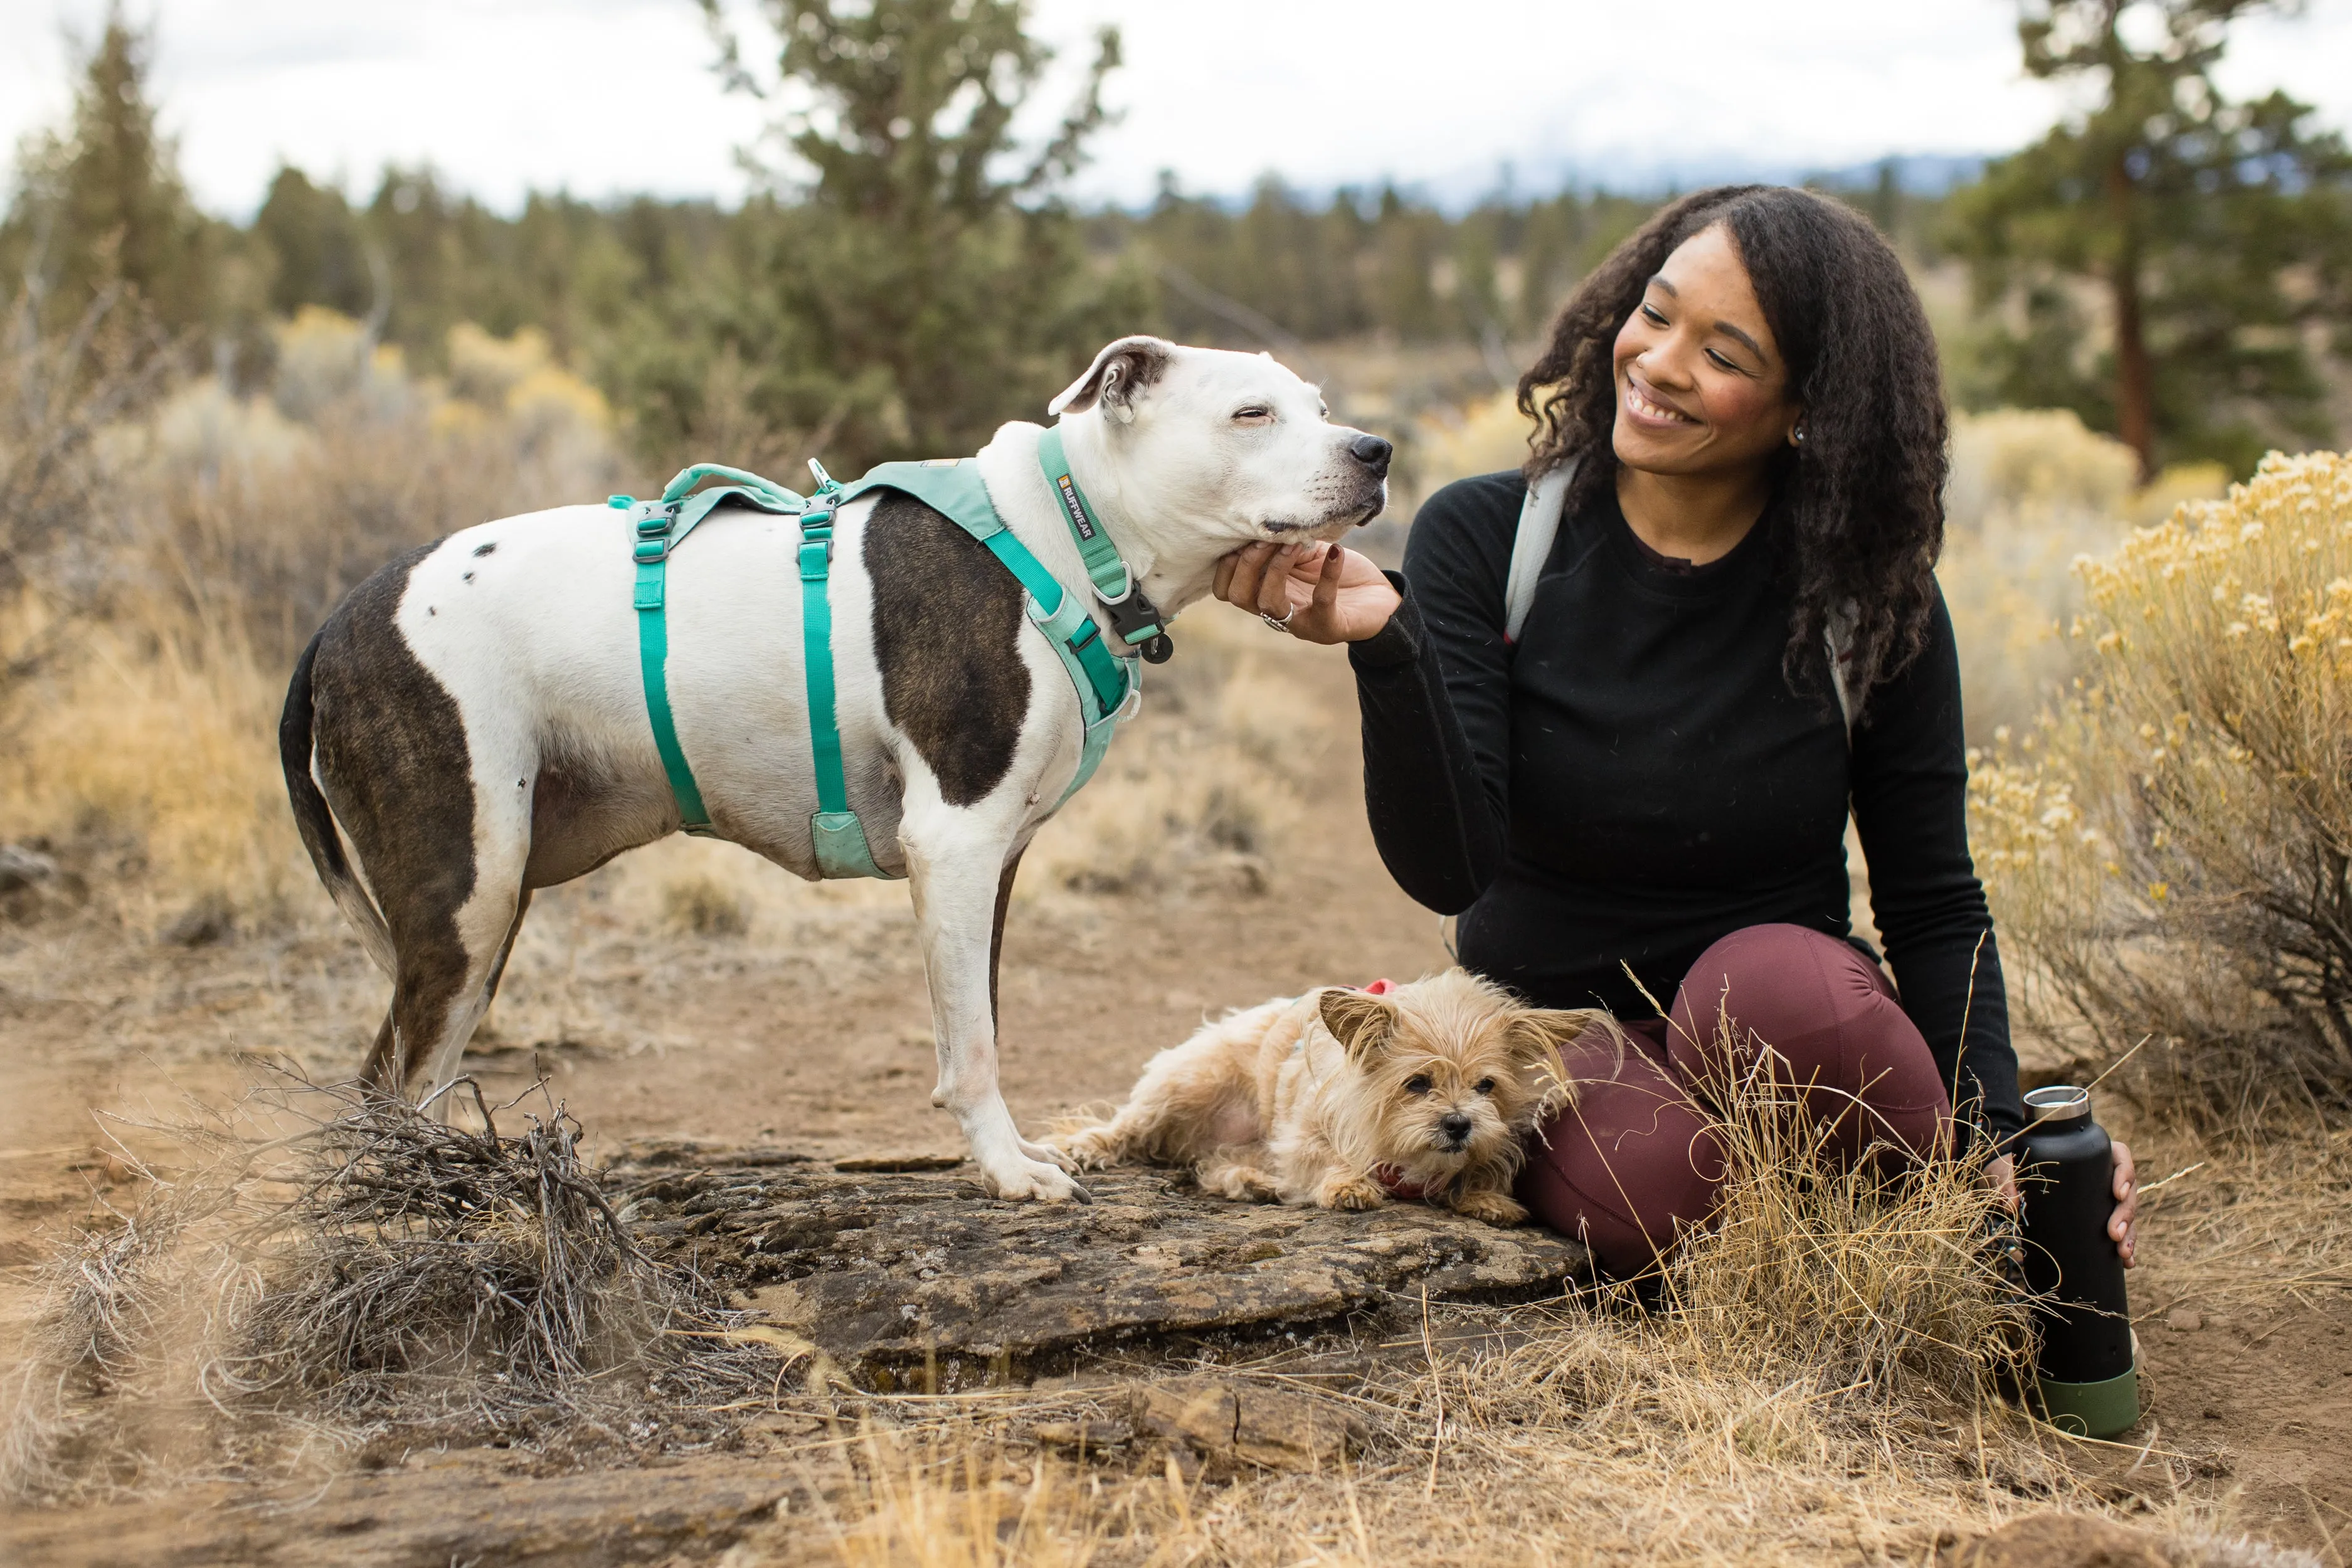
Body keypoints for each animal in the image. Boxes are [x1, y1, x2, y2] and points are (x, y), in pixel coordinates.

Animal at [277, 341, 1383, 1204]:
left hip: (487, 908)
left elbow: (976, 1019)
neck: (1068, 536)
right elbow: (973, 1047)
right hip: (464, 891)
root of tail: (334, 624)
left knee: (417, 1078)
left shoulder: (993, 862)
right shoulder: (955, 839)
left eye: (1323, 408)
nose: (1373, 452)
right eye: (1251, 413)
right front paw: (1008, 1171)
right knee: (382, 1086)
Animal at [1054, 968, 1618, 1222]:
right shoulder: (1304, 1130)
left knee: (1215, 1165)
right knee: (1127, 1126)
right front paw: (1348, 1185)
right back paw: (1085, 1147)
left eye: (1487, 1086)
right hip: (1189, 1084)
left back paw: (1255, 1181)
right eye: (1417, 1084)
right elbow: (1326, 1156)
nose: (1460, 1124)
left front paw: (1486, 1196)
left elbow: (1484, 1163)